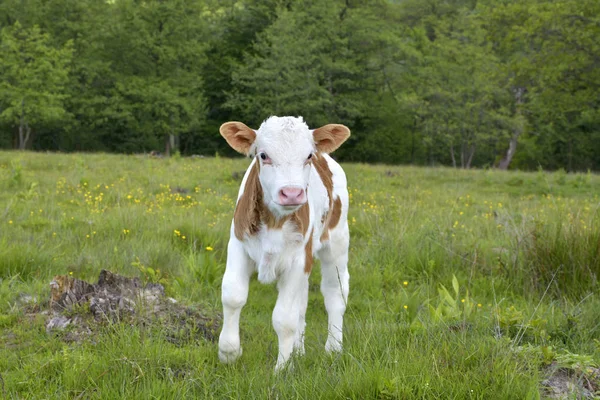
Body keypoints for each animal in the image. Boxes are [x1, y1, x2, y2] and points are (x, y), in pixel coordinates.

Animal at [217, 115, 350, 372]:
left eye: (308, 156)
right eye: (263, 155)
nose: (291, 193)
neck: (274, 222)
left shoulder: (298, 259)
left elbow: (284, 317)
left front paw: (283, 368)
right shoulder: (238, 244)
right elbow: (233, 295)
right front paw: (229, 353)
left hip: (337, 241)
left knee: (335, 293)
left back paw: (334, 349)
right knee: (303, 301)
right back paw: (299, 350)